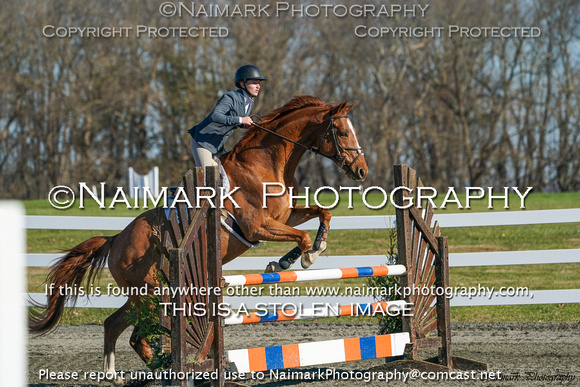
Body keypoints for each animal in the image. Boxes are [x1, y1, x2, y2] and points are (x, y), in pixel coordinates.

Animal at [29, 95, 368, 380]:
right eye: (342, 132)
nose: (362, 171)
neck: (266, 165)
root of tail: (116, 239)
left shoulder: (286, 216)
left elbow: (322, 214)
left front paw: (299, 255)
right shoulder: (258, 226)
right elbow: (302, 237)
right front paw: (299, 259)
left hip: (142, 295)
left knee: (115, 325)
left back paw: (120, 374)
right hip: (153, 293)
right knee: (135, 334)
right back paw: (162, 369)